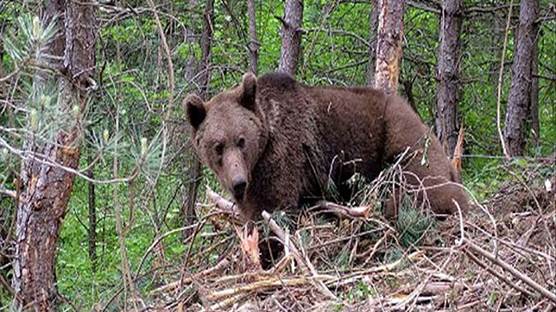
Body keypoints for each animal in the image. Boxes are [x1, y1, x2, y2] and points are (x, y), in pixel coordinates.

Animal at [186, 72, 470, 221]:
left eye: (242, 140)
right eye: (218, 146)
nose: (238, 182)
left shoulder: (285, 158)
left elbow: (274, 207)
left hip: (401, 140)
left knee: (422, 186)